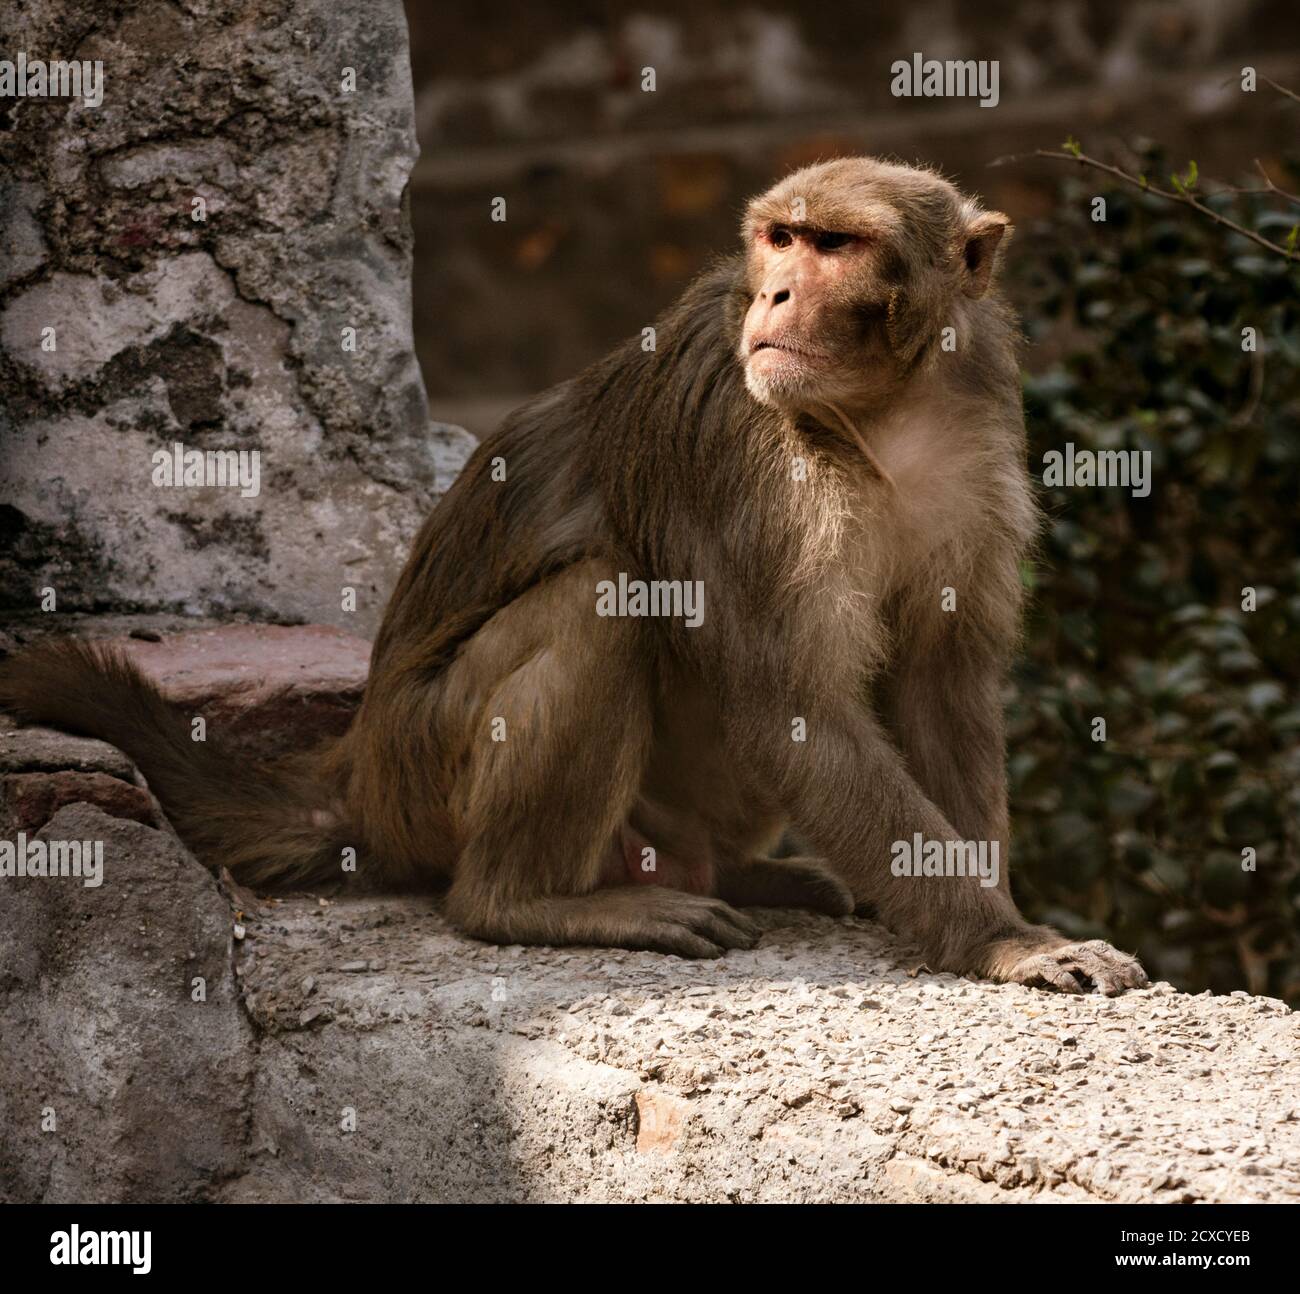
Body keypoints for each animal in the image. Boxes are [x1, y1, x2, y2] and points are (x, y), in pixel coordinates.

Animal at [0, 156, 1144, 998]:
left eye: (837, 244)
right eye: (780, 239)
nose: (776, 291)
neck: (878, 413)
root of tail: (358, 778)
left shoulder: (975, 420)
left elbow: (941, 685)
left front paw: (999, 914)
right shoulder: (738, 443)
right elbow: (792, 707)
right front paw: (1006, 942)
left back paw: (741, 872)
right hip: (431, 768)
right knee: (602, 602)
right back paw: (525, 903)